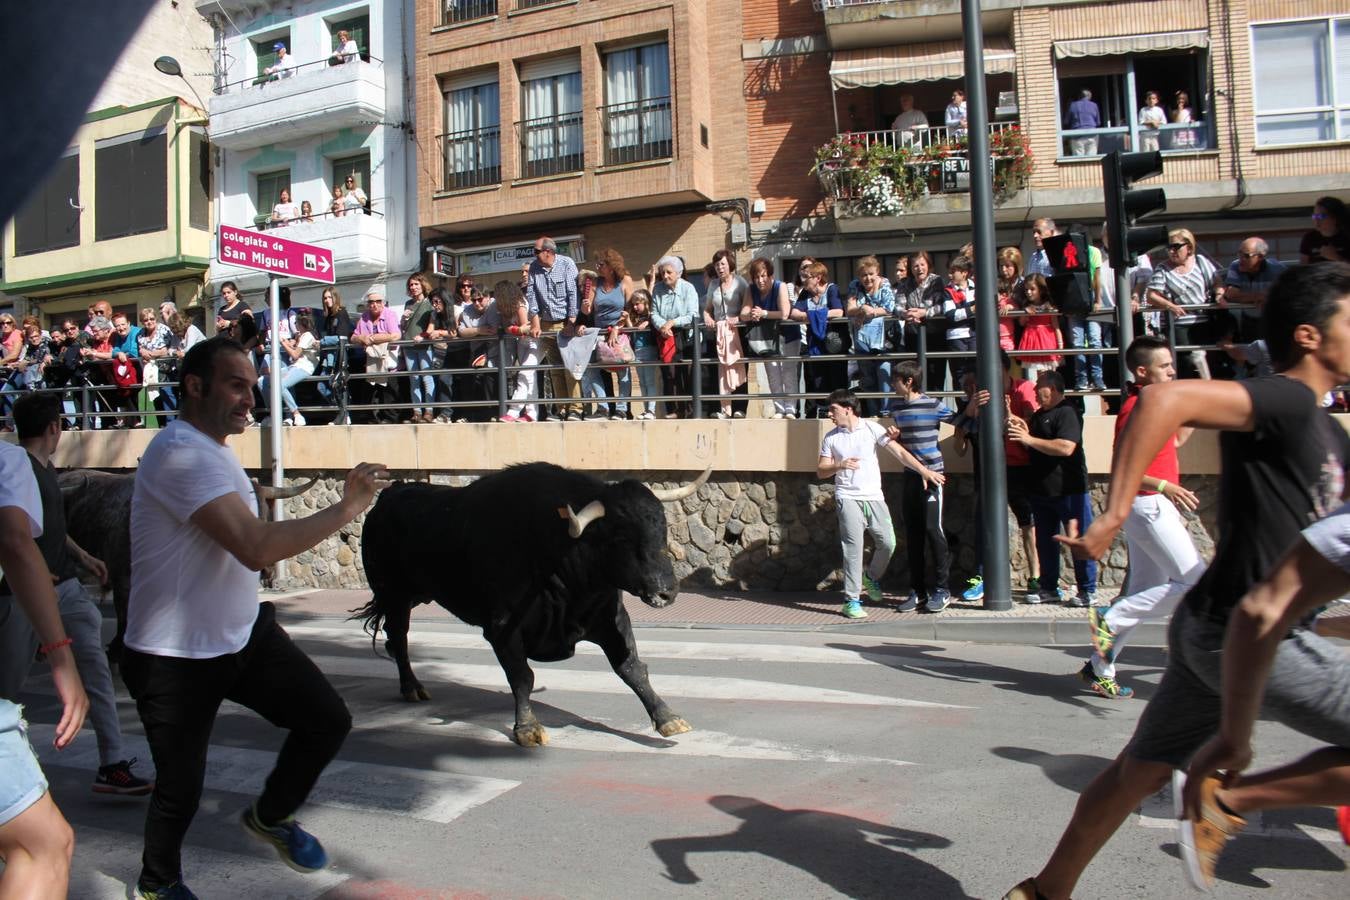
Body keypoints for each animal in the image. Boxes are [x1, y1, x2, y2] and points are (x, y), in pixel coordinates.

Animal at [351, 461, 707, 750]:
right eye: (619, 537)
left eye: (661, 527)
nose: (667, 592)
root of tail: (391, 494)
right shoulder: (503, 628)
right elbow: (522, 676)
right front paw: (527, 728)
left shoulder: (612, 619)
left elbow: (632, 668)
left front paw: (667, 716)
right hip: (394, 594)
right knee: (399, 636)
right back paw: (411, 686)